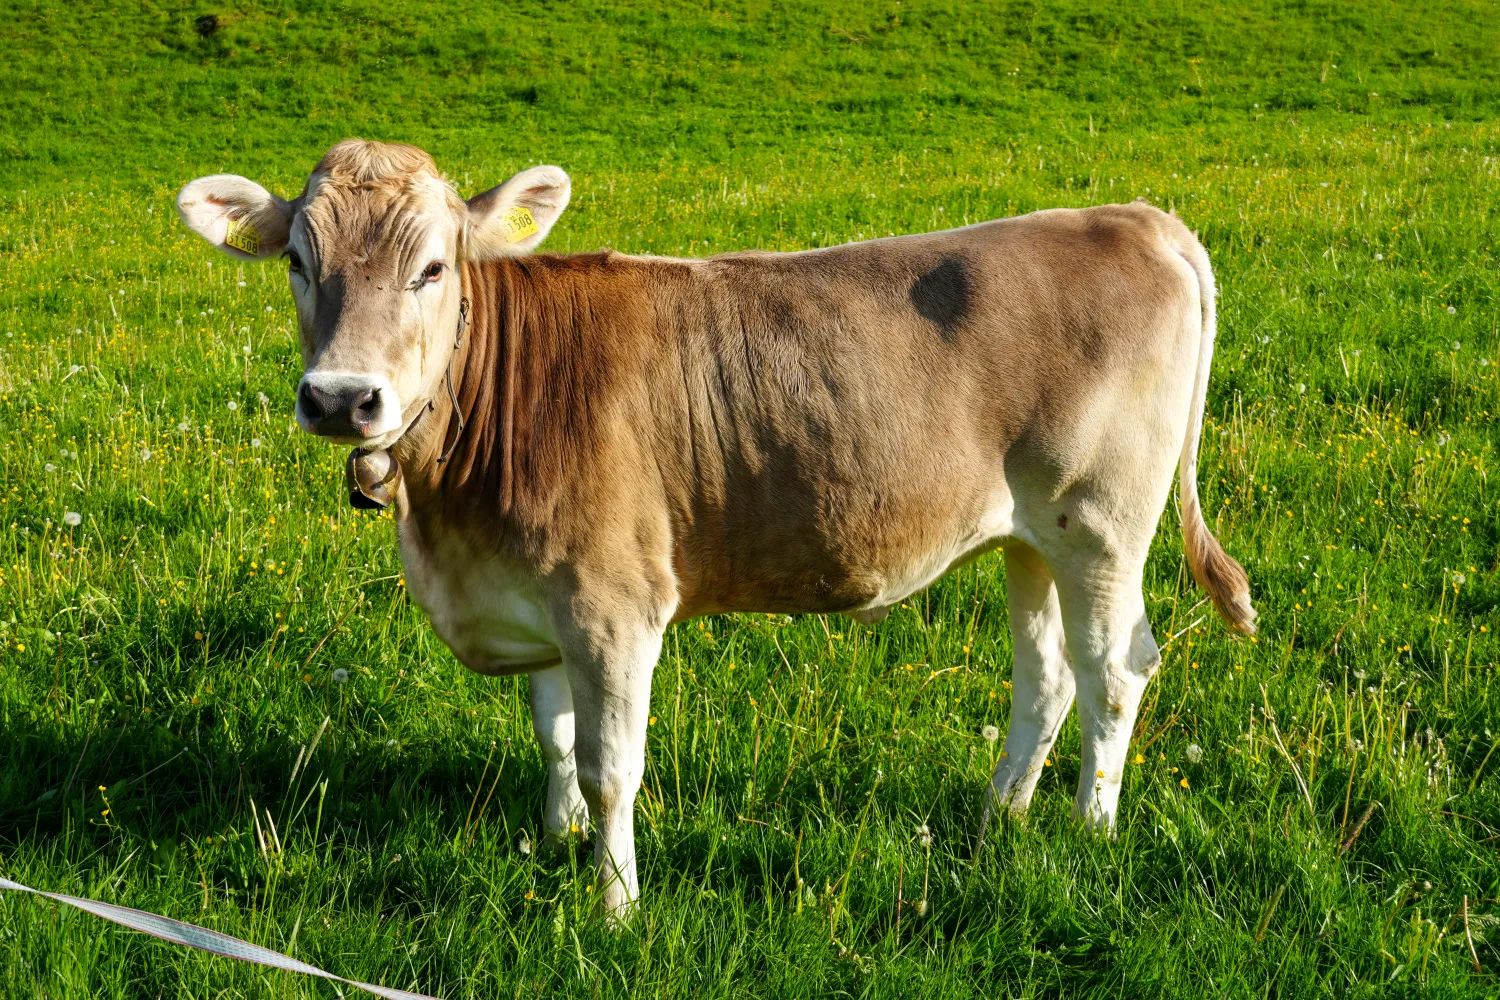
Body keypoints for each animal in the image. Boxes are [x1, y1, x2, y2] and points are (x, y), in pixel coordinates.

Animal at [177, 139, 1256, 917]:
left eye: (433, 268)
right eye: (298, 261)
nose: (342, 398)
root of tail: (1133, 216)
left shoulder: (612, 605)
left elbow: (611, 766)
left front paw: (614, 906)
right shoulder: (538, 600)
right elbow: (554, 737)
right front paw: (558, 842)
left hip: (1100, 522)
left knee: (1116, 670)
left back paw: (1088, 829)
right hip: (1029, 538)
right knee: (1049, 675)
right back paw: (1000, 816)